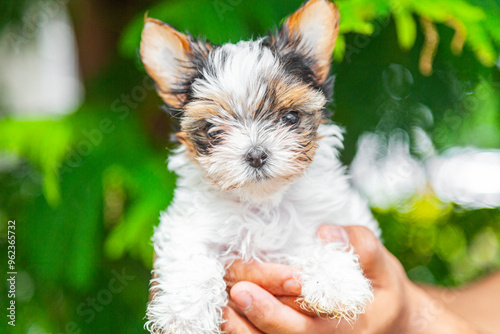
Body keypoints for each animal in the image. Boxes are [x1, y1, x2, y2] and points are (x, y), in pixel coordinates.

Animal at [140, 1, 378, 332]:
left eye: (290, 117)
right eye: (213, 130)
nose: (255, 155)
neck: (263, 202)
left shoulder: (329, 219)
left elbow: (323, 243)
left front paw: (335, 283)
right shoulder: (188, 224)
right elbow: (192, 257)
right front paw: (185, 314)